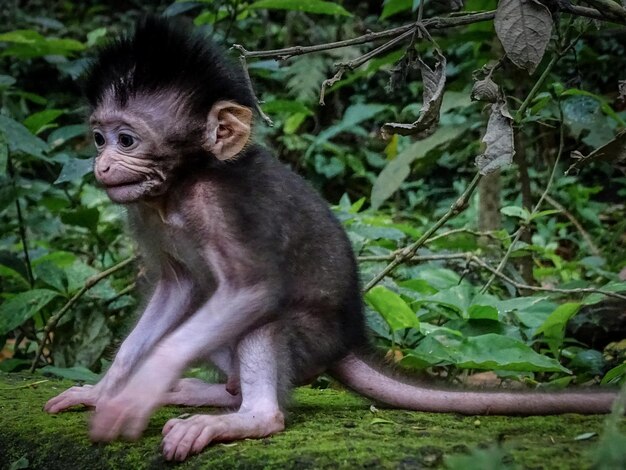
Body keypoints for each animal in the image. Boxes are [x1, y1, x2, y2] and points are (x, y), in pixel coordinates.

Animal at [45, 16, 616, 460]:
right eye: (98, 137)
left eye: (126, 139)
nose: (101, 165)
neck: (180, 190)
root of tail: (346, 340)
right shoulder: (144, 211)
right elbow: (175, 288)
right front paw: (107, 388)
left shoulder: (219, 205)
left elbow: (254, 290)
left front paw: (137, 392)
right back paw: (216, 395)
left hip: (308, 340)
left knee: (264, 316)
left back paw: (250, 416)